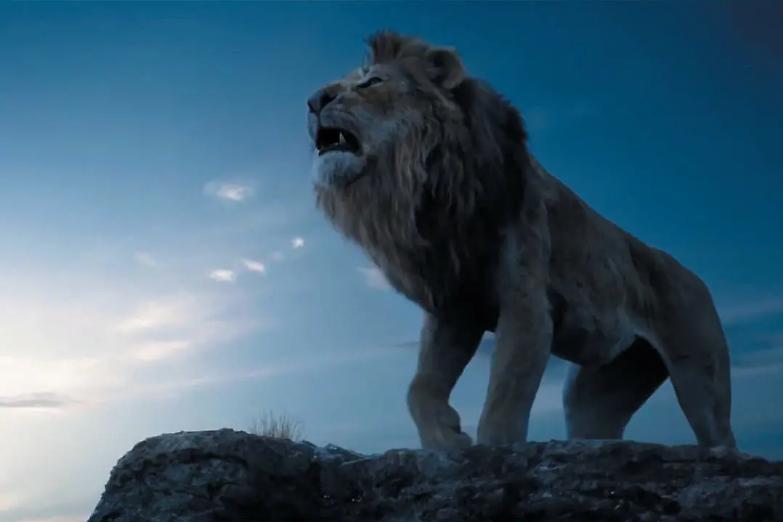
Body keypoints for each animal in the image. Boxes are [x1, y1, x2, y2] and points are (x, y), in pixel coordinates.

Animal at [307, 31, 736, 450]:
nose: (313, 101)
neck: (430, 189)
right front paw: (445, 437)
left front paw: (492, 449)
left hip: (700, 376)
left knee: (720, 438)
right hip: (596, 391)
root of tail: (698, 279)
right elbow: (420, 387)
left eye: (371, 82)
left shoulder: (526, 304)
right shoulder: (456, 306)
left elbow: (505, 391)